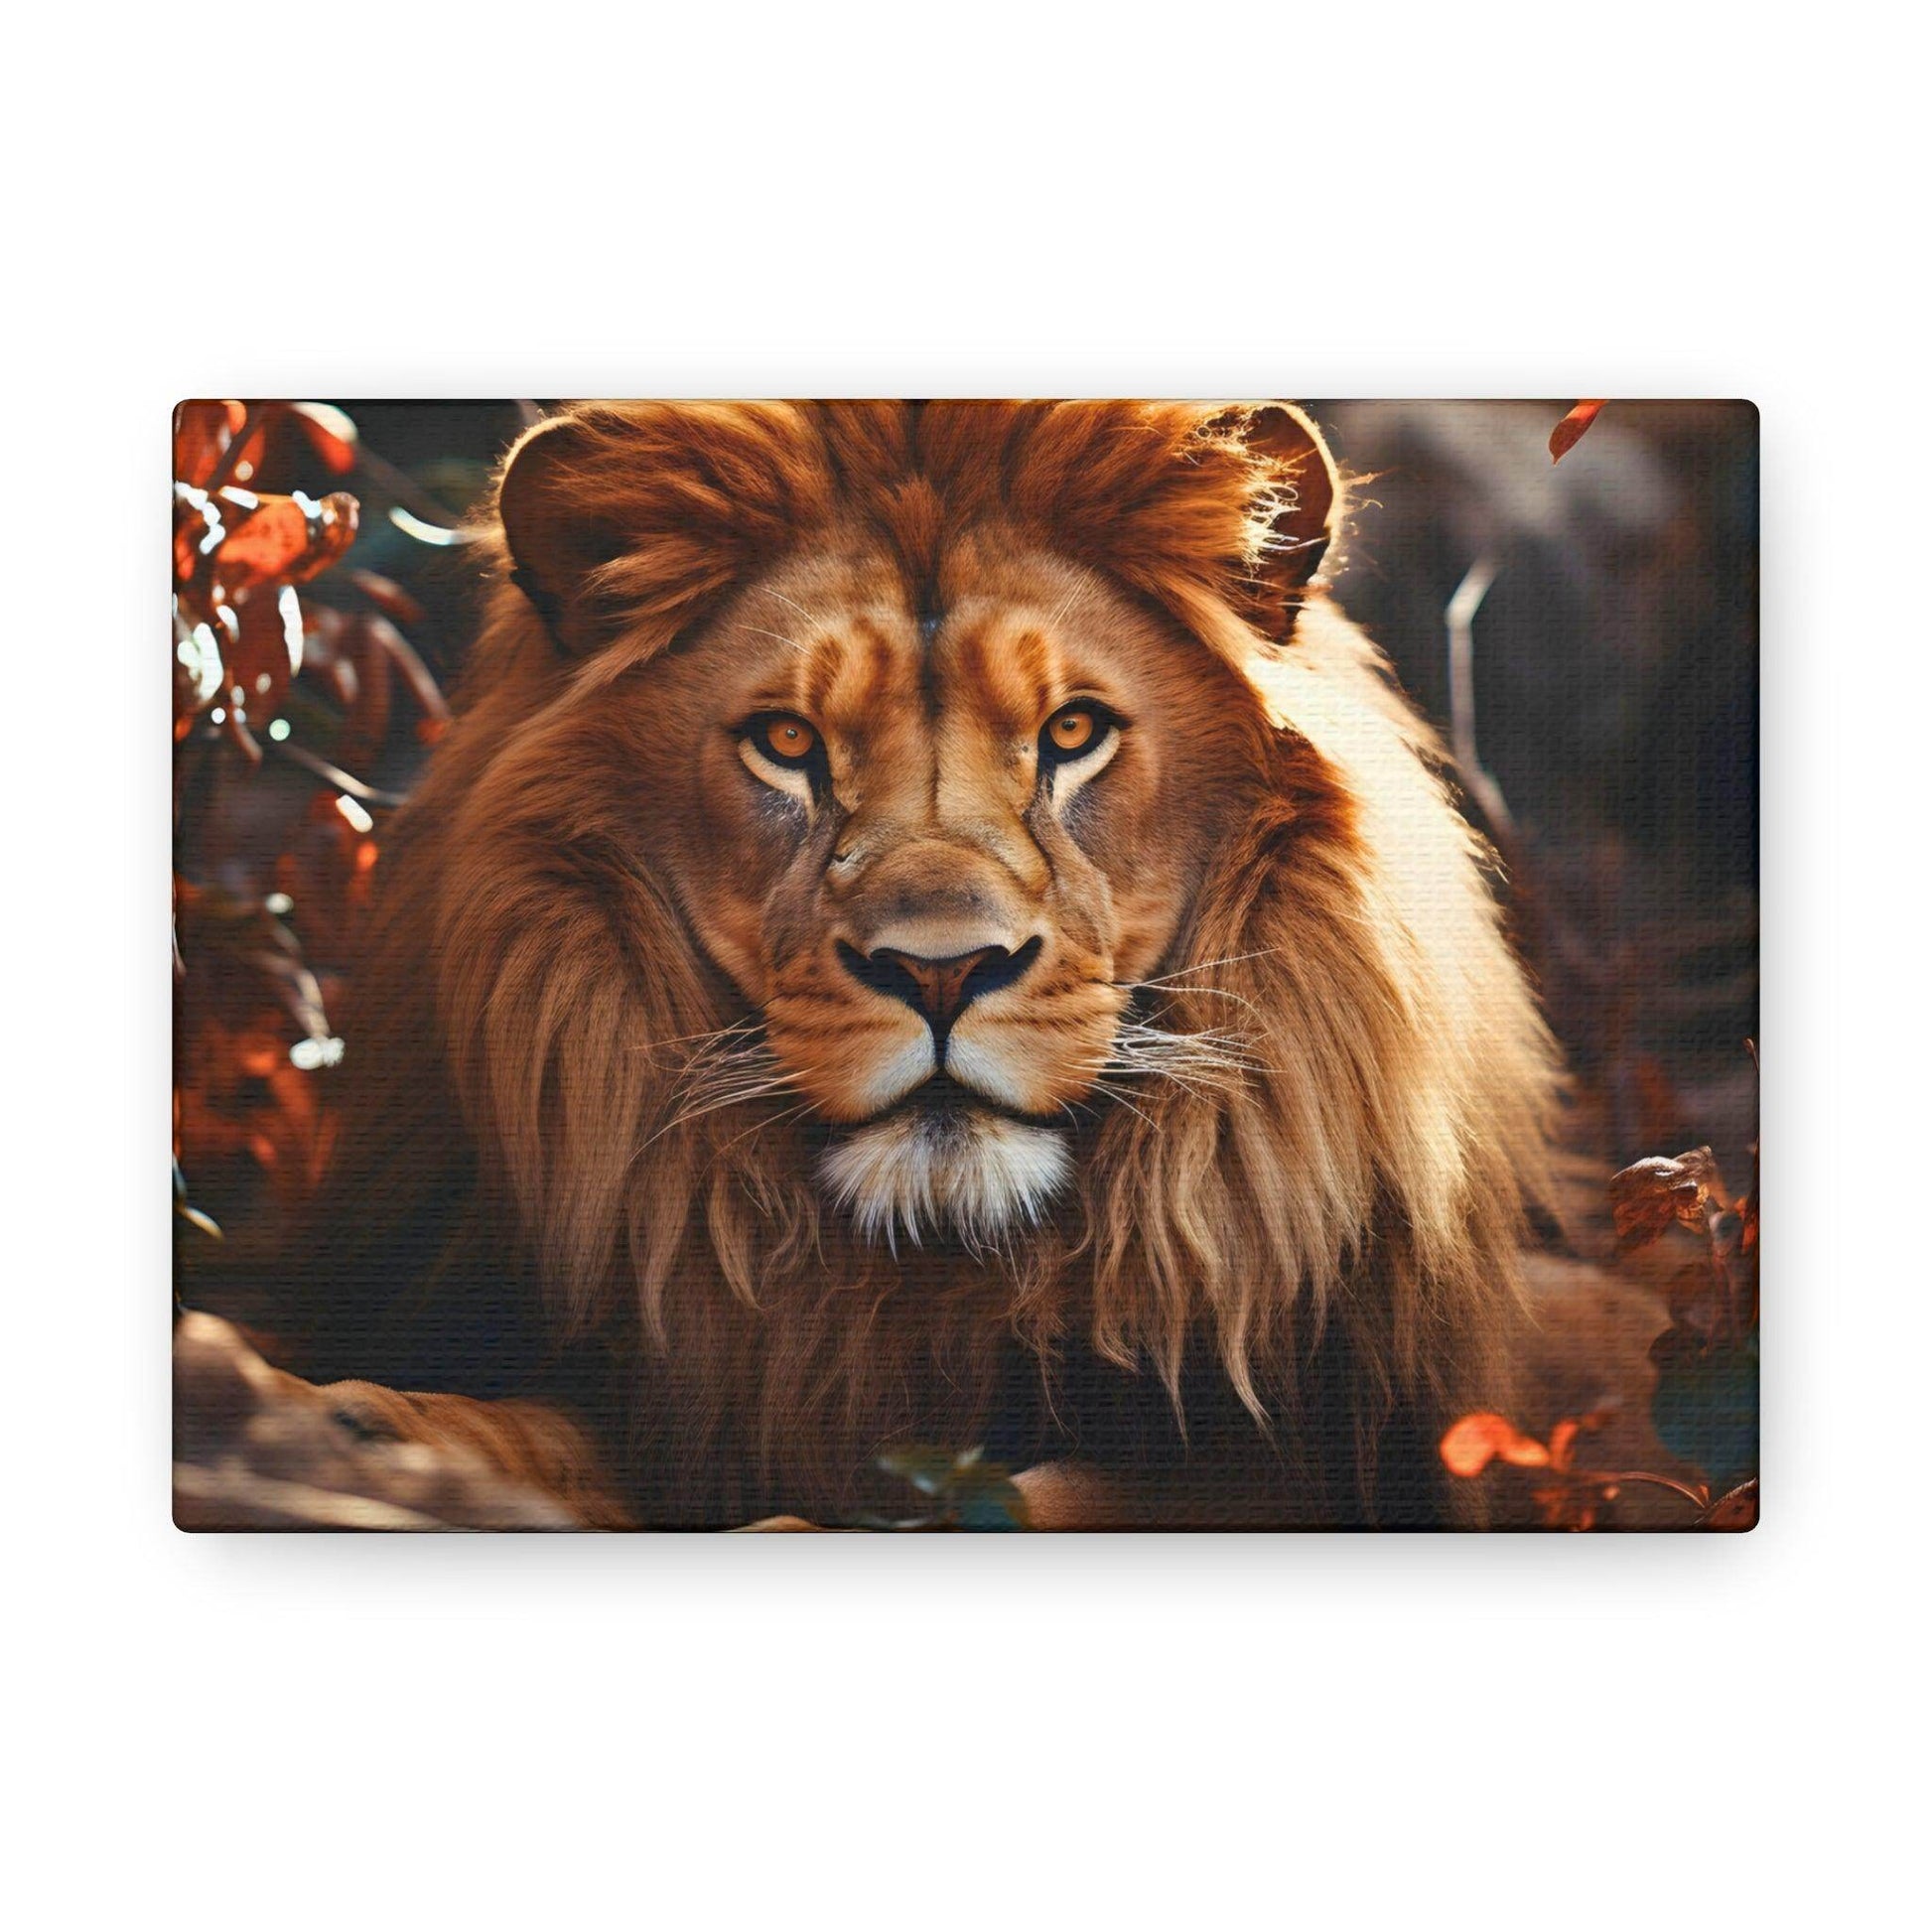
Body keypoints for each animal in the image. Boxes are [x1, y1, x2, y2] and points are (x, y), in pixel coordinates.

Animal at [212, 400, 1562, 1529]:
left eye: (1072, 731)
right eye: (785, 742)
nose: (941, 973)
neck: (920, 1277)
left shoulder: (1296, 1465)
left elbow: (1042, 1502)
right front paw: (356, 1425)